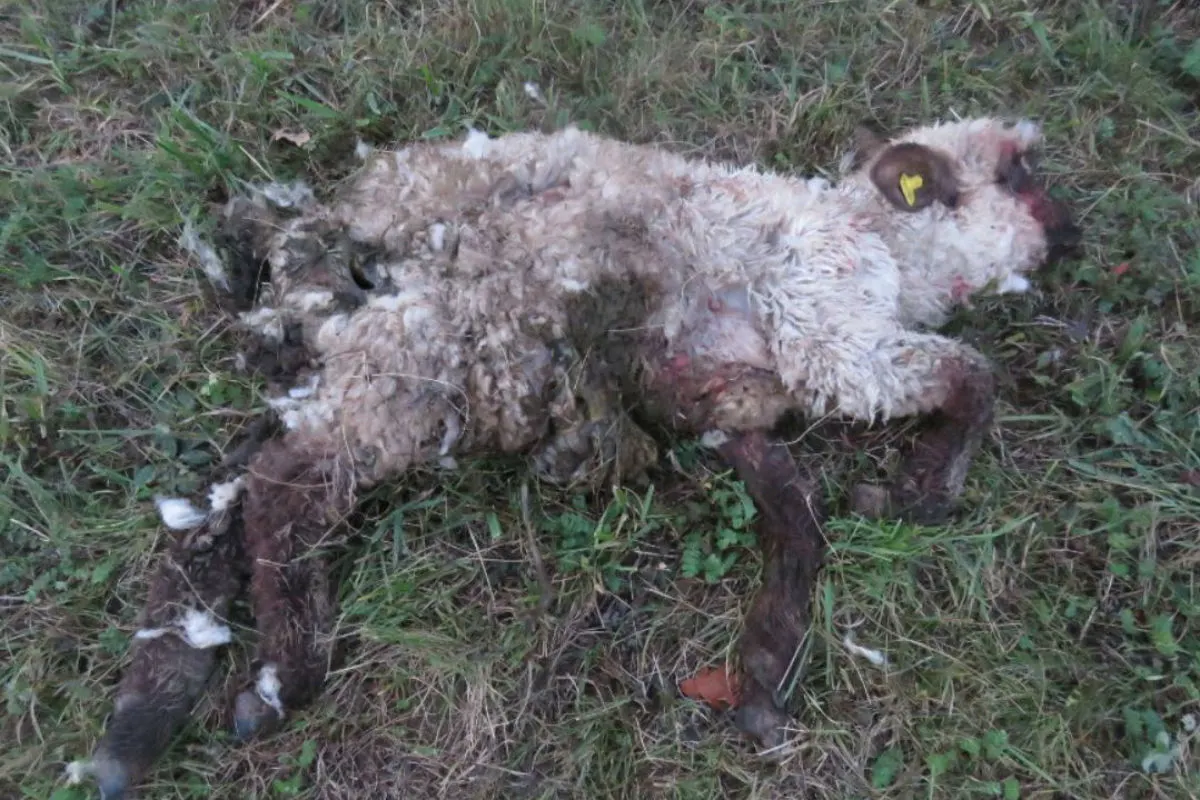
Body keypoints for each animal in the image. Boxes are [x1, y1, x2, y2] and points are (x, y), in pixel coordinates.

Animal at [71, 116, 1079, 798]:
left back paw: (143, 720)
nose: (1074, 229)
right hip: (415, 363)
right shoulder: (829, 330)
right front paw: (921, 491)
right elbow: (967, 376)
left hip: (346, 369)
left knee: (221, 497)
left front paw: (761, 680)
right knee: (286, 489)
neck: (876, 241)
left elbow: (795, 523)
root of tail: (307, 244)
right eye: (1017, 170)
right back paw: (280, 678)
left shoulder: (729, 405)